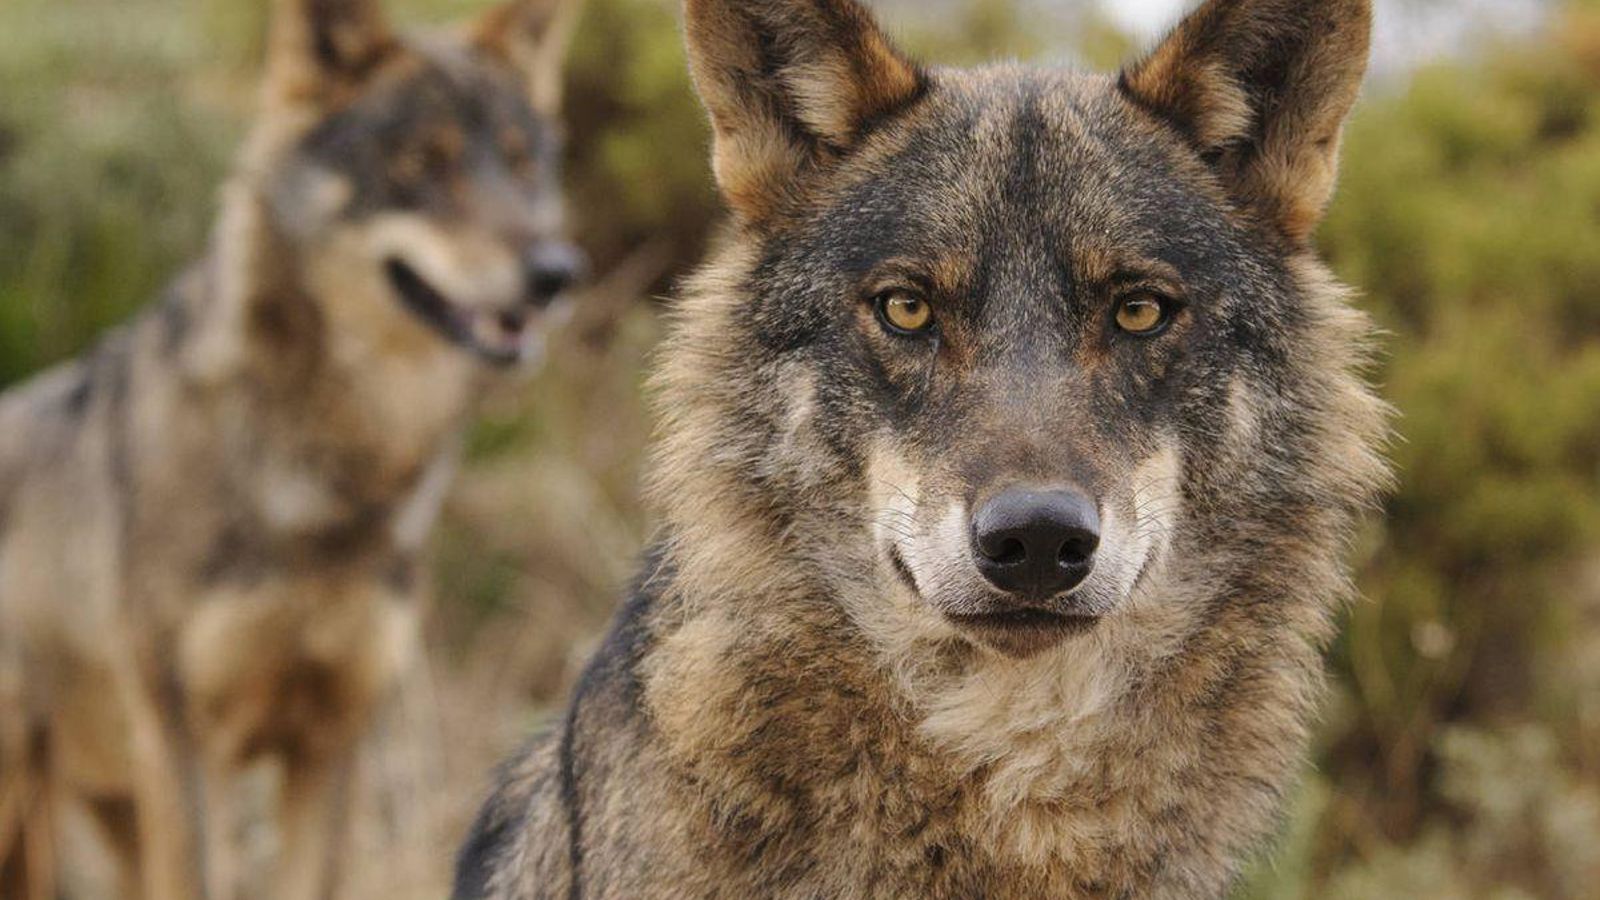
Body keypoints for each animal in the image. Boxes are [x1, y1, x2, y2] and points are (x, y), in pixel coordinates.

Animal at [0, 0, 583, 897]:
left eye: (522, 165)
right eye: (422, 161)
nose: (555, 273)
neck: (328, 487)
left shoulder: (331, 741)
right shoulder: (186, 746)